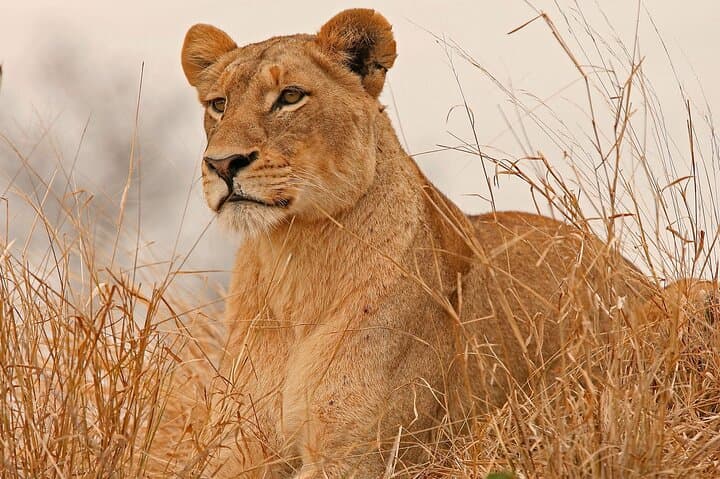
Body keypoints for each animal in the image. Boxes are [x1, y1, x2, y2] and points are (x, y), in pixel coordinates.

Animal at [178, 8, 711, 478]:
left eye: (290, 96)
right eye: (218, 104)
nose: (221, 164)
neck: (294, 257)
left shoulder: (363, 455)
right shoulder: (237, 444)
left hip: (693, 292)